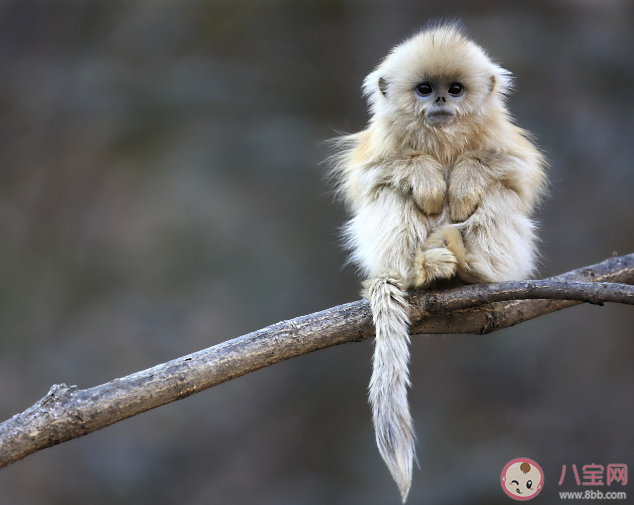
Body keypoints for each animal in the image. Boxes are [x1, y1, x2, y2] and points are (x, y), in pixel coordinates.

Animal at [330, 20, 544, 500]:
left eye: (456, 89)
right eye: (425, 89)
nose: (442, 101)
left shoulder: (504, 142)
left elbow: (513, 173)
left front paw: (463, 182)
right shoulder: (379, 147)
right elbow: (375, 176)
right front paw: (428, 179)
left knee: (498, 195)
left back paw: (470, 267)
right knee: (390, 194)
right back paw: (423, 270)